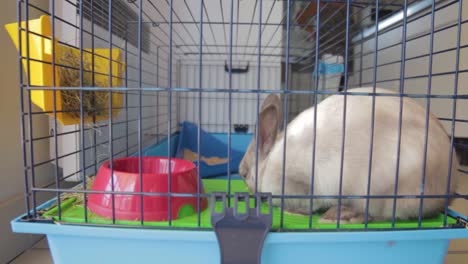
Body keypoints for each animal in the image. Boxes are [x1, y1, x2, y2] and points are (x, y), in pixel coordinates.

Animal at [239, 86, 458, 223]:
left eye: (244, 173)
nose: (241, 173)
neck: (268, 164)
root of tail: (447, 190)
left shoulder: (301, 184)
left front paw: (294, 211)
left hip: (381, 189)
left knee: (380, 215)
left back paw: (339, 216)